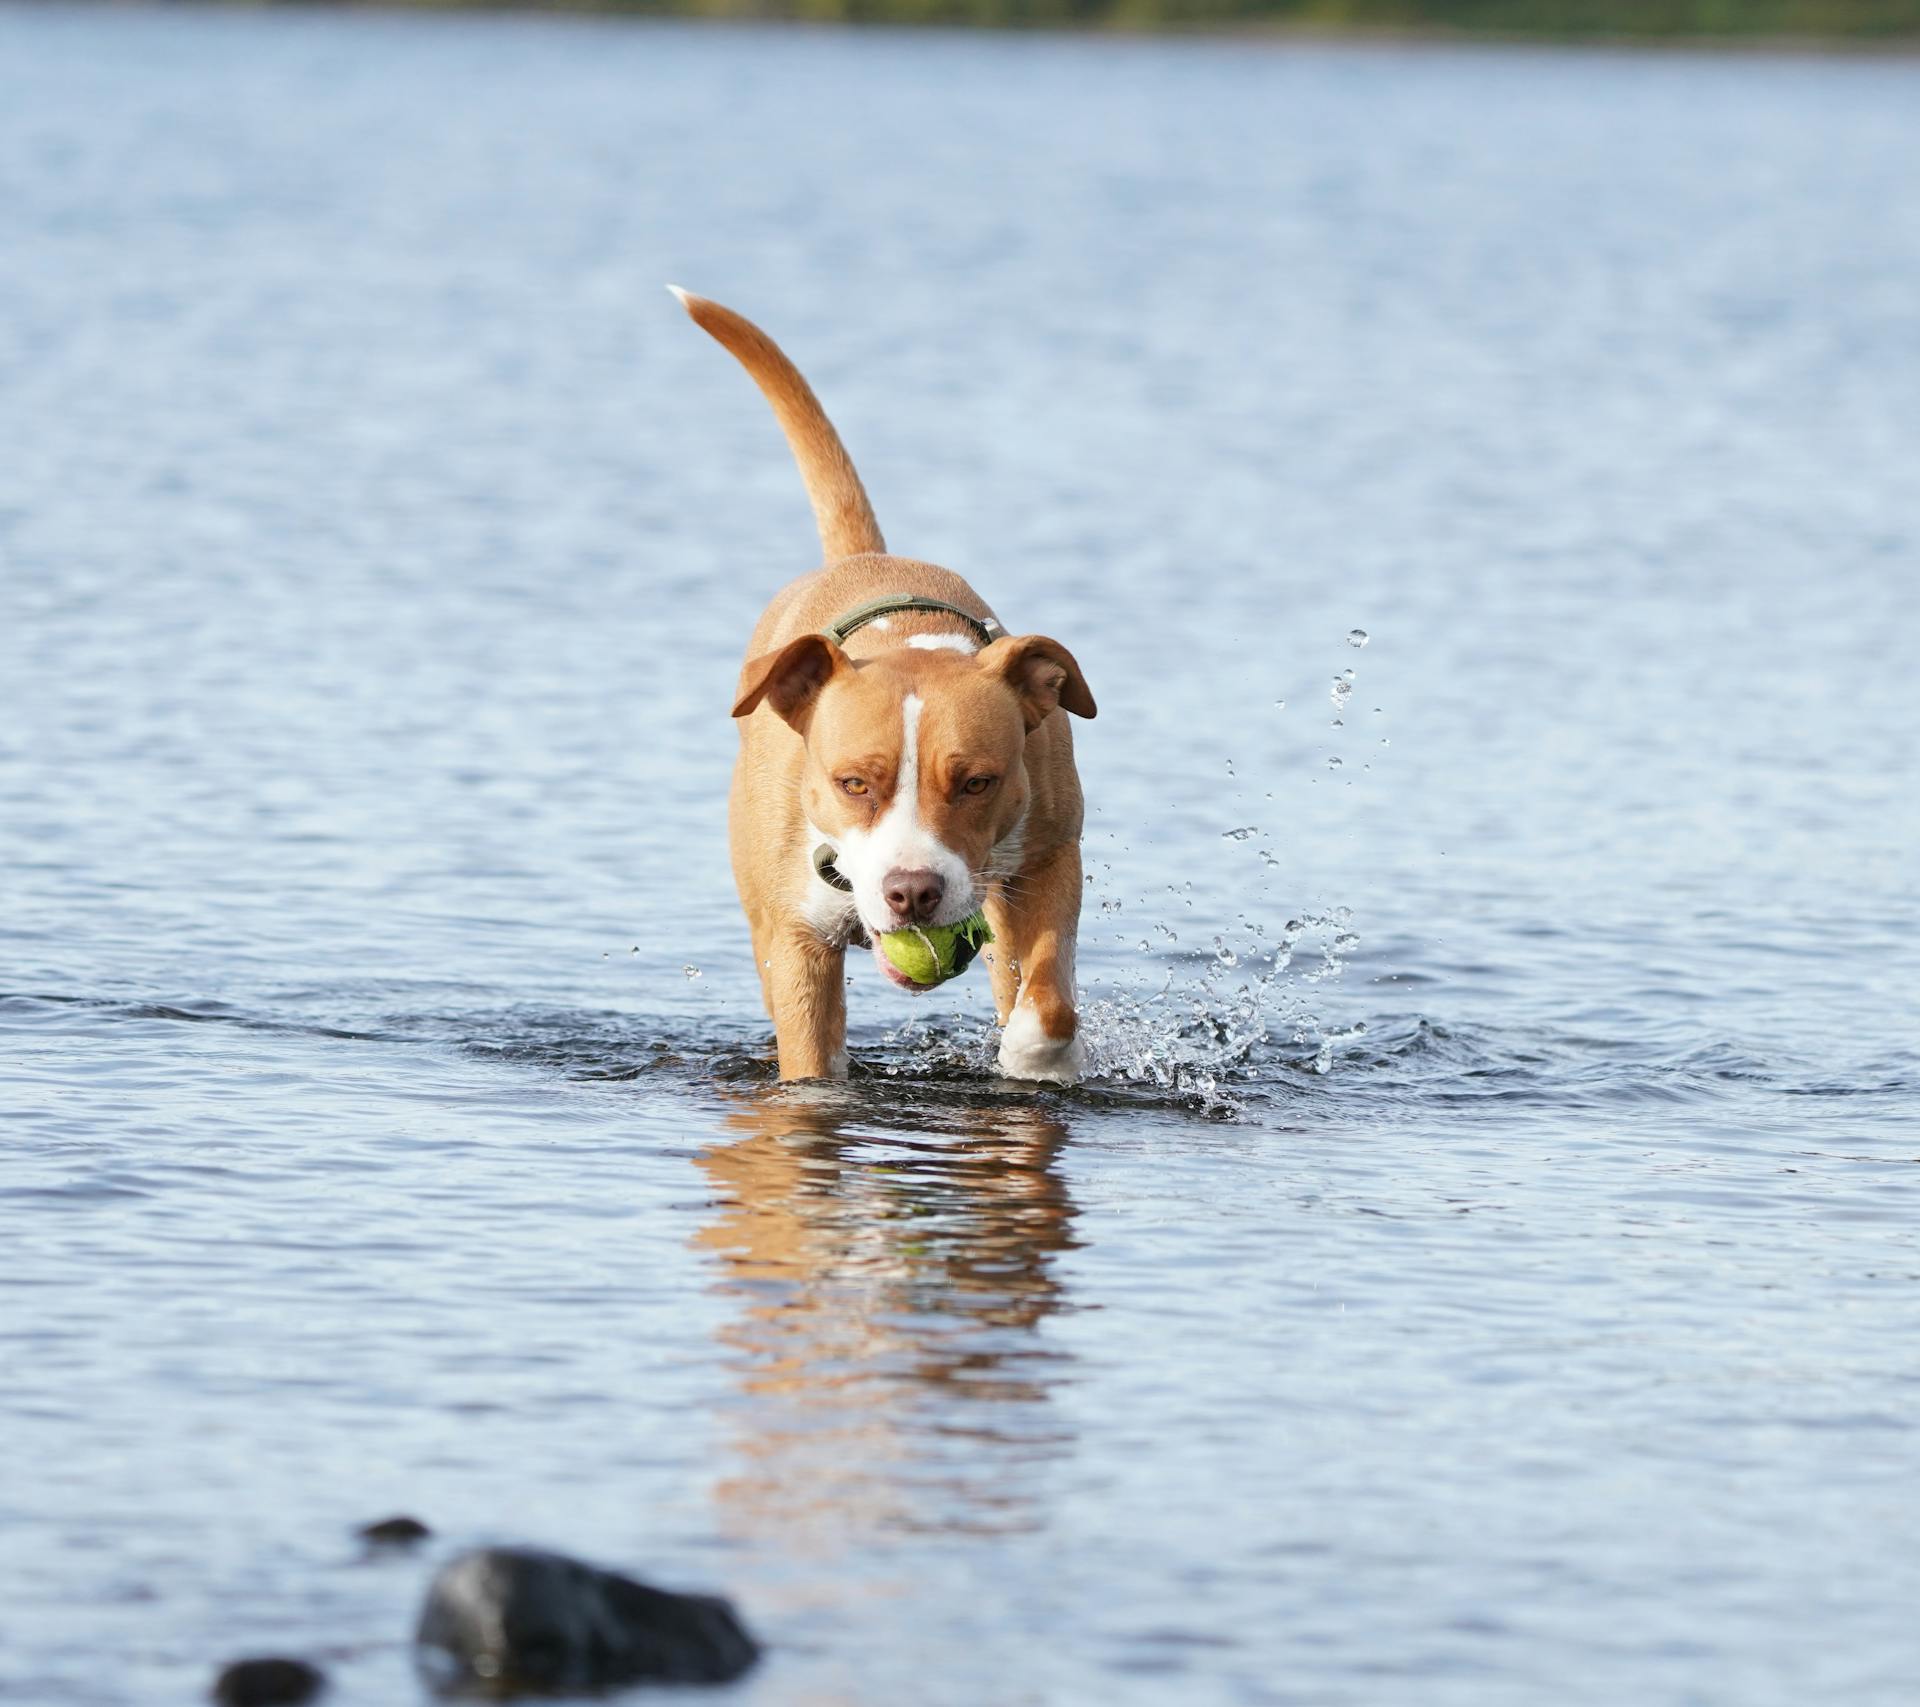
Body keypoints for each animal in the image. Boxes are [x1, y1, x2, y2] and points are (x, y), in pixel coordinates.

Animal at [672, 284, 1098, 1075]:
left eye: (977, 781)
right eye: (852, 783)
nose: (913, 892)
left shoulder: (1052, 856)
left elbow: (1048, 995)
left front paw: (1034, 1054)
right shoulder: (797, 942)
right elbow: (811, 1065)